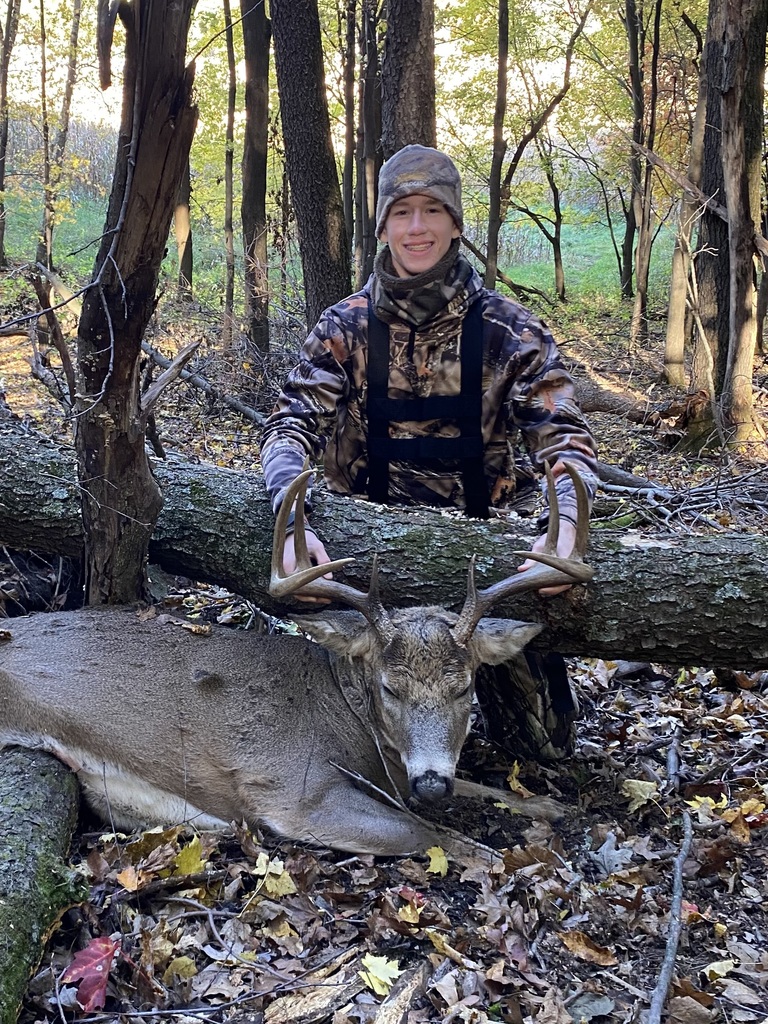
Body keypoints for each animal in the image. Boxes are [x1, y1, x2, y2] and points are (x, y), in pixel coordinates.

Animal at [0, 464, 592, 862]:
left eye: (465, 686)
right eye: (389, 688)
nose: (430, 784)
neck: (355, 731)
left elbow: (485, 789)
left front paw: (556, 808)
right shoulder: (294, 793)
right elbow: (440, 836)